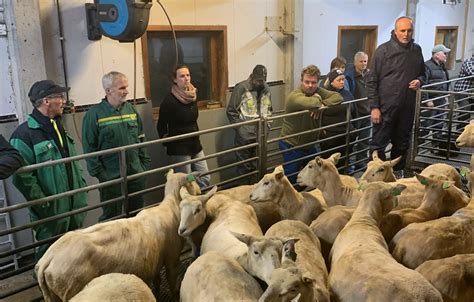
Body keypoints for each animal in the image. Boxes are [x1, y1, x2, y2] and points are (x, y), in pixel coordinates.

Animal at [35, 170, 201, 302]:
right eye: (193, 182)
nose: (200, 191)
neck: (171, 206)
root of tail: (47, 260)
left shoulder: (155, 261)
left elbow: (157, 282)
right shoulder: (172, 258)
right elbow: (172, 284)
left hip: (53, 295)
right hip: (70, 288)